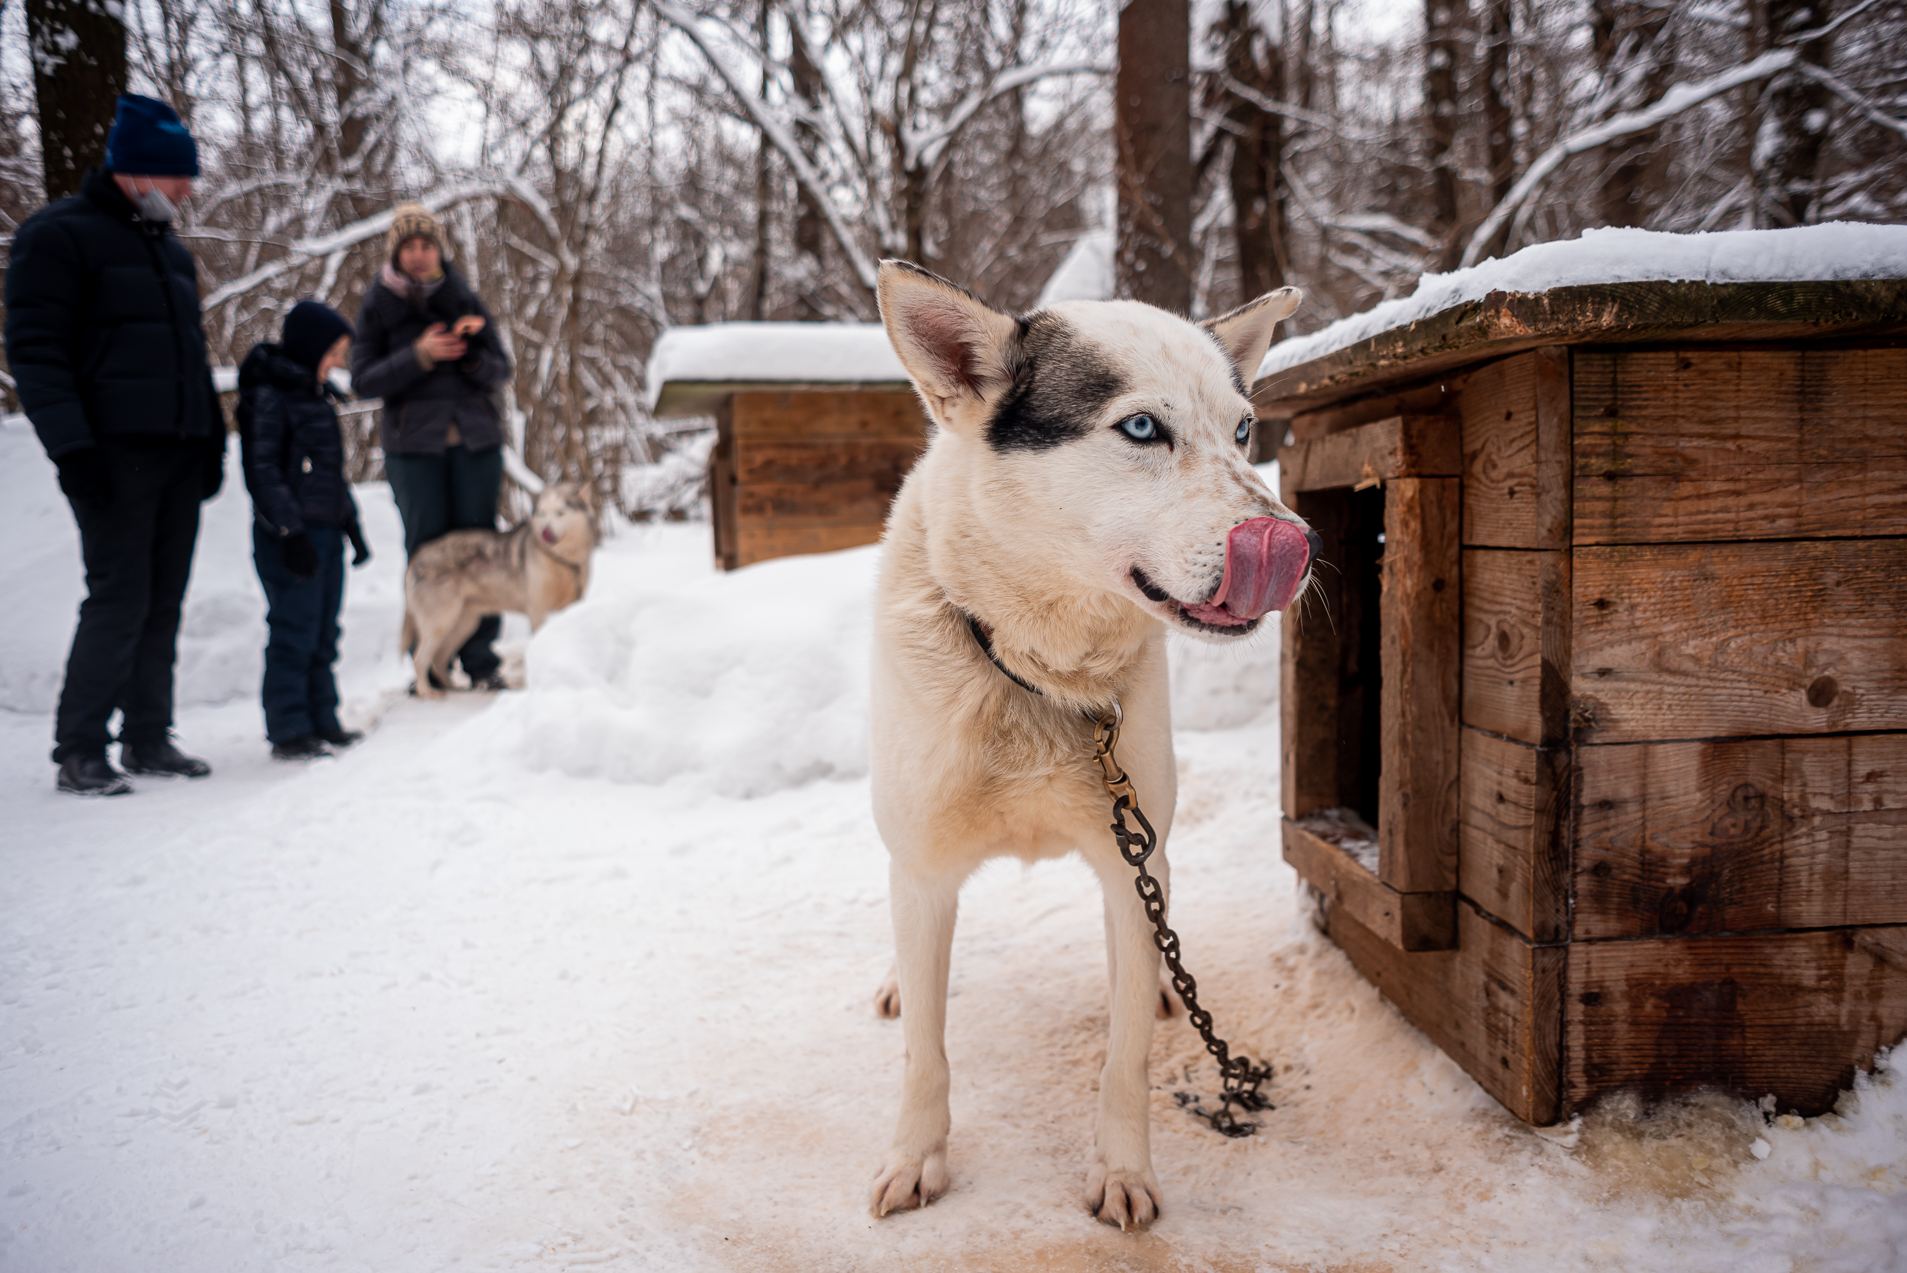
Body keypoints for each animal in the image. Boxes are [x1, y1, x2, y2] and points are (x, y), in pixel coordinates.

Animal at [394, 480, 587, 697]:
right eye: (542, 513)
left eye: (560, 513)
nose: (545, 532)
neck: (563, 560)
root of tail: (414, 559)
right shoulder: (537, 610)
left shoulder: (572, 604)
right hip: (440, 623)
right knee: (420, 658)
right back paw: (427, 692)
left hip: (464, 625)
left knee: (439, 659)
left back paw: (452, 687)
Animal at [873, 262, 1319, 1227]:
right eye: (1142, 427)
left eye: (1242, 430)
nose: (1294, 543)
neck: (1039, 676)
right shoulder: (924, 871)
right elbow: (926, 1052)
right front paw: (915, 1156)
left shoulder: (1129, 862)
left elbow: (1126, 1059)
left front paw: (1122, 1170)